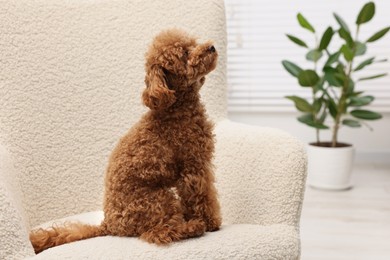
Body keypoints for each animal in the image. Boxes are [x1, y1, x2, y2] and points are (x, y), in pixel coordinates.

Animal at [30, 29, 222, 254]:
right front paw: (211, 222)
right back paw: (193, 226)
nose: (211, 47)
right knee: (158, 232)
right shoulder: (193, 165)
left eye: (193, 43)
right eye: (184, 54)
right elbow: (202, 195)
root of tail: (109, 225)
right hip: (156, 199)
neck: (176, 109)